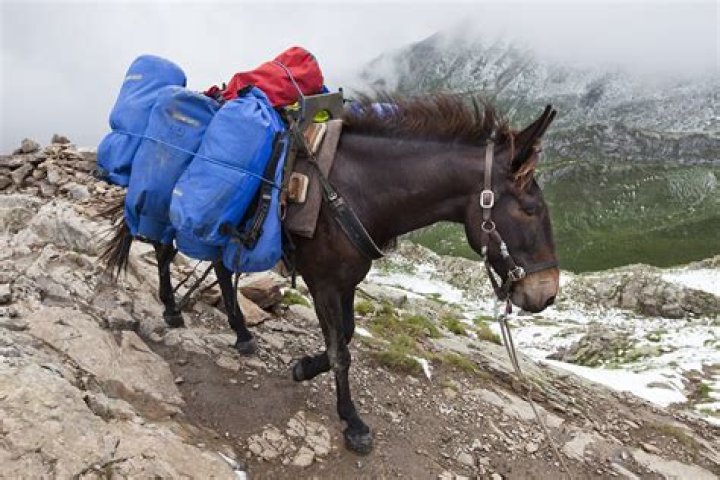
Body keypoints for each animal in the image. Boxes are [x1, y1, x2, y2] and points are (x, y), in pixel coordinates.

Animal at [101, 93, 559, 455]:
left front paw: (304, 367)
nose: (547, 293)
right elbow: (342, 352)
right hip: (170, 212)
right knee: (164, 252)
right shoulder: (321, 283)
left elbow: (348, 336)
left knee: (219, 267)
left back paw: (242, 333)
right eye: (530, 209)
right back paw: (172, 309)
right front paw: (352, 422)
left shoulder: (347, 282)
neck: (356, 189)